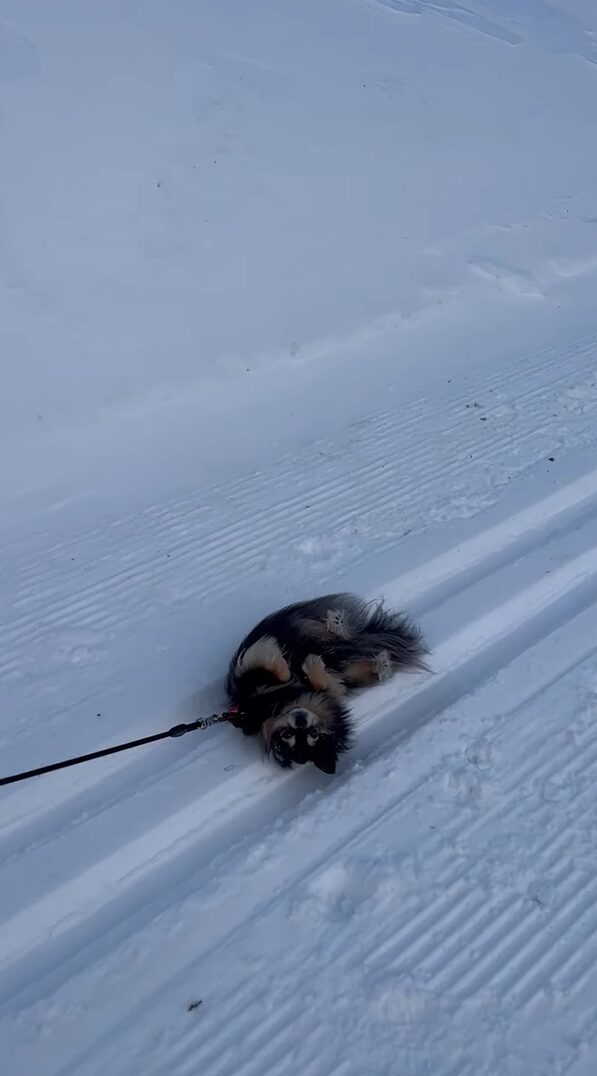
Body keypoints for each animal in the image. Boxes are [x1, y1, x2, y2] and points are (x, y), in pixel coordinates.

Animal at [226, 589, 428, 774]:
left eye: (313, 733)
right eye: (287, 734)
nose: (301, 721)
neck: (280, 702)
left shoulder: (246, 673)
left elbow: (276, 665)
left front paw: (289, 663)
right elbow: (328, 684)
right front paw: (308, 665)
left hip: (323, 633)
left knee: (341, 634)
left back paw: (338, 625)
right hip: (349, 662)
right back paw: (381, 664)